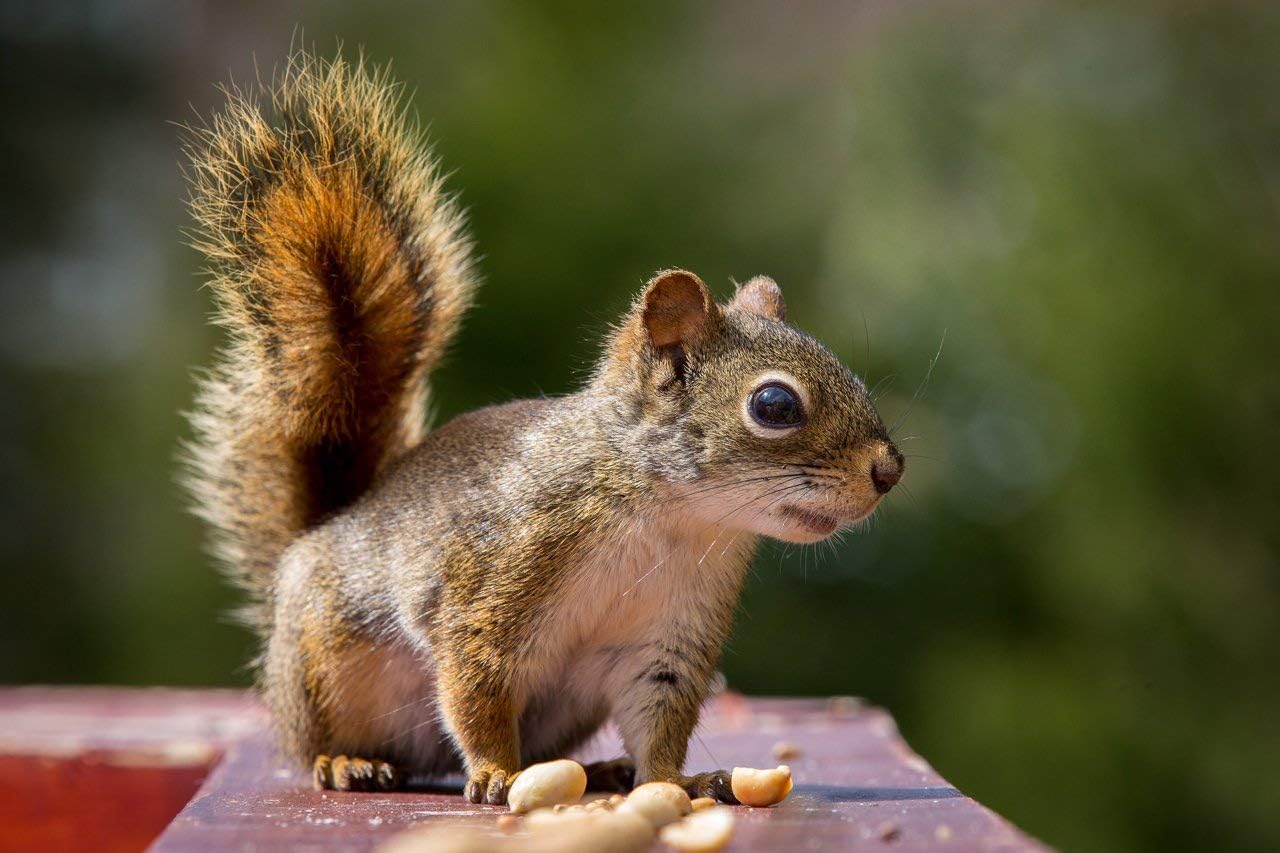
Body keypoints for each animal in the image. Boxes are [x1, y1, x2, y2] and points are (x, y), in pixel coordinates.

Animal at [182, 50, 904, 805]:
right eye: (774, 407)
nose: (889, 470)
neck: (670, 516)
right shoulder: (490, 584)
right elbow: (476, 686)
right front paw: (498, 771)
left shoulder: (669, 638)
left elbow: (660, 714)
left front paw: (674, 780)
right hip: (323, 664)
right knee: (314, 742)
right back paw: (348, 761)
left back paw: (598, 769)